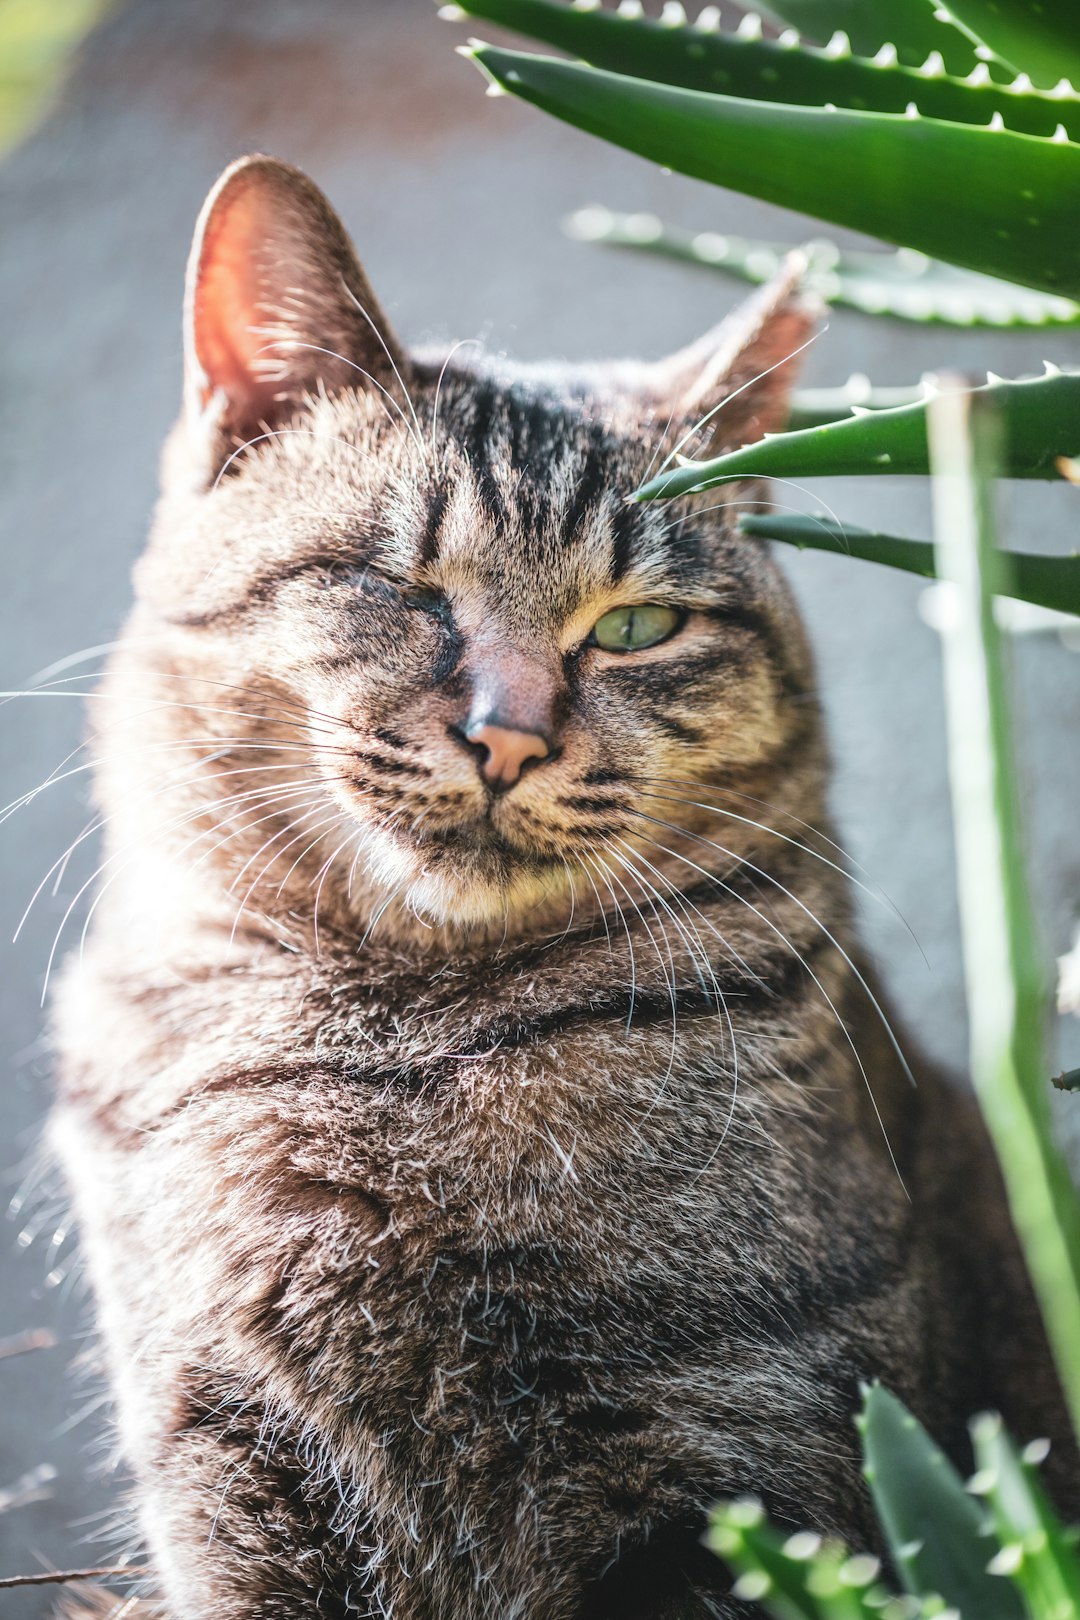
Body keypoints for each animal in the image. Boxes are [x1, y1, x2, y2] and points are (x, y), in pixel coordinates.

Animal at [52, 154, 1075, 1620]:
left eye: (638, 626)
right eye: (400, 585)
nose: (510, 734)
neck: (393, 1039)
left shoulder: (740, 1463)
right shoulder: (232, 1475)